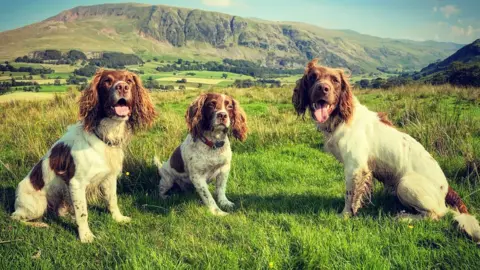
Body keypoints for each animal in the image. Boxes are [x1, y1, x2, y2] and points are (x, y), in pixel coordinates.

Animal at [10, 68, 156, 242]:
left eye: (129, 81)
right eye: (107, 81)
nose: (122, 87)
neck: (105, 133)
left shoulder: (109, 178)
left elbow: (112, 200)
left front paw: (118, 218)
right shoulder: (76, 183)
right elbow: (83, 212)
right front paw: (86, 236)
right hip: (36, 205)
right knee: (16, 217)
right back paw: (39, 224)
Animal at [290, 59, 478, 243]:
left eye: (335, 80)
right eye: (313, 77)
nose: (323, 88)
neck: (341, 118)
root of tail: (447, 188)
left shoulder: (355, 167)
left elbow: (350, 195)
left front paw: (345, 215)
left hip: (405, 184)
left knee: (437, 213)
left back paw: (404, 217)